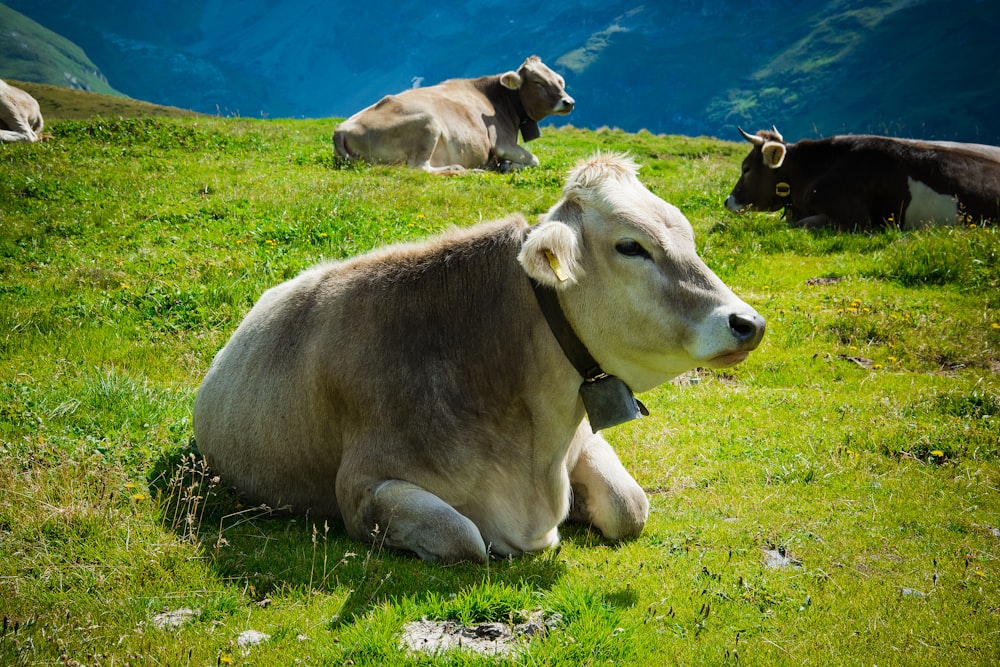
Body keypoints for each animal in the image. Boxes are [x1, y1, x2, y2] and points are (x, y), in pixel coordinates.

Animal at [193, 153, 764, 564]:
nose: (748, 323)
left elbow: (632, 508)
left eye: (687, 235)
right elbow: (464, 538)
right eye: (631, 246)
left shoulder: (579, 439)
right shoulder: (361, 489)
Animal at [334, 55, 576, 174]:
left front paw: (506, 165)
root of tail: (340, 130)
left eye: (559, 80)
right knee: (418, 169)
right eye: (538, 82)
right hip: (429, 122)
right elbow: (535, 159)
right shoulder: (502, 143)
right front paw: (509, 166)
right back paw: (461, 169)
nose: (569, 102)